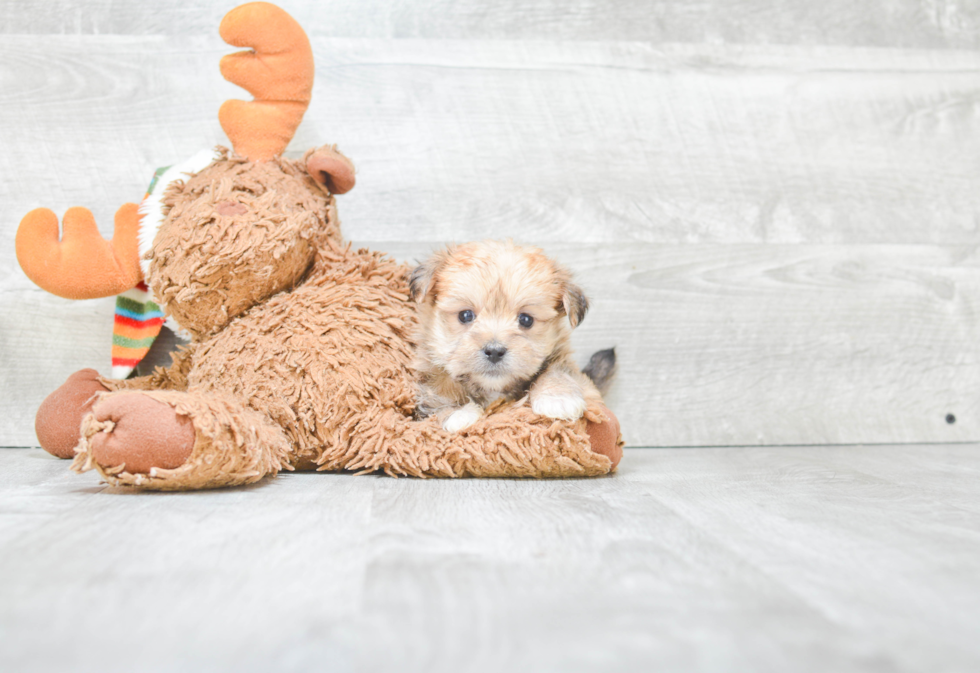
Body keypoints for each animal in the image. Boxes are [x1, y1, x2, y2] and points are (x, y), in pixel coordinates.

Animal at [408, 239, 612, 434]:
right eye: (465, 315)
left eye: (526, 319)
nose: (494, 351)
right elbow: (438, 390)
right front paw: (457, 412)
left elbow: (557, 370)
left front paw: (557, 397)